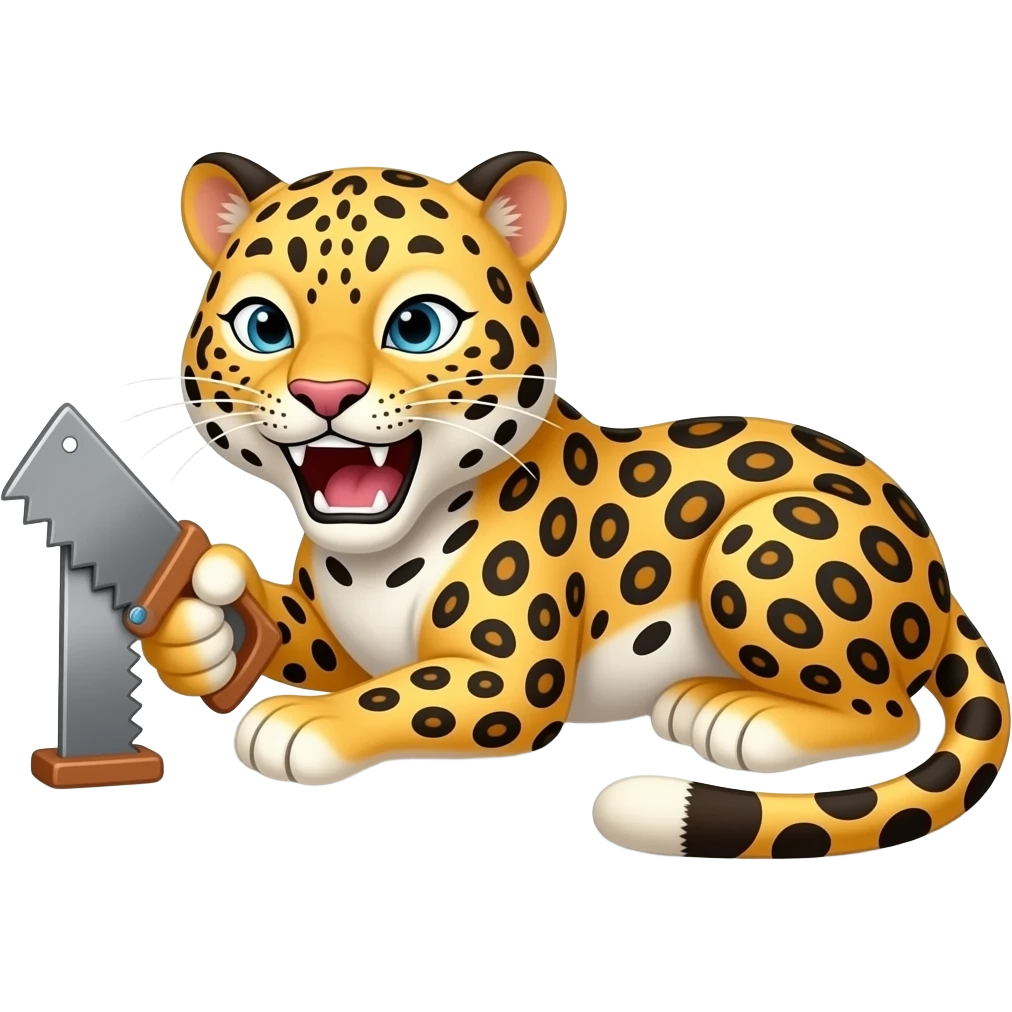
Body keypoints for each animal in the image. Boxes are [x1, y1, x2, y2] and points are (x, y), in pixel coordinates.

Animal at [155, 149, 1010, 861]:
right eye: (265, 327)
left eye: (417, 325)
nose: (325, 394)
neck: (372, 556)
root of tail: (938, 571)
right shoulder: (339, 634)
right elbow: (296, 635)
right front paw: (200, 633)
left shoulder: (510, 677)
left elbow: (405, 693)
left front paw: (303, 721)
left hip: (766, 542)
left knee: (892, 710)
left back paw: (735, 716)